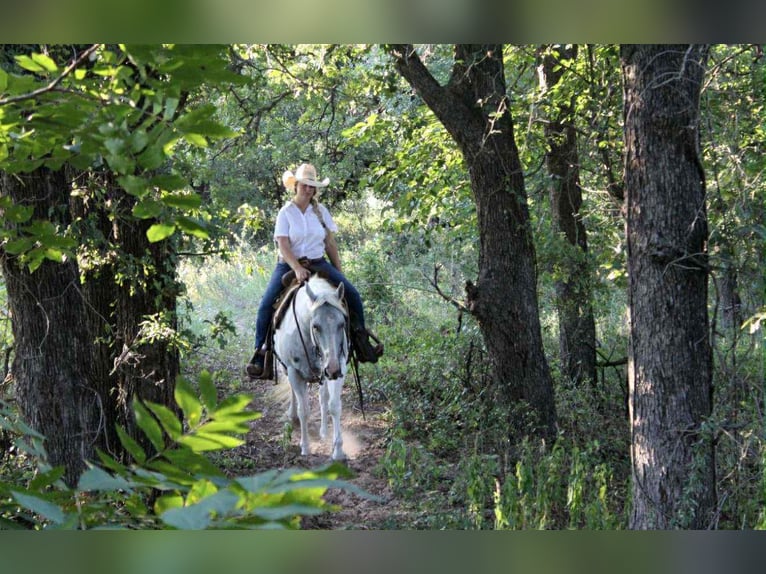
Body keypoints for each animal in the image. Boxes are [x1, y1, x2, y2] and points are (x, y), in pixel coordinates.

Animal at [273, 275, 349, 460]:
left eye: (342, 324)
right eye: (316, 326)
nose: (333, 369)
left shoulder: (340, 368)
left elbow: (334, 405)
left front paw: (337, 451)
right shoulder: (294, 372)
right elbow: (304, 410)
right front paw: (305, 447)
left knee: (323, 397)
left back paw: (324, 432)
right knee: (295, 395)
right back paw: (292, 414)